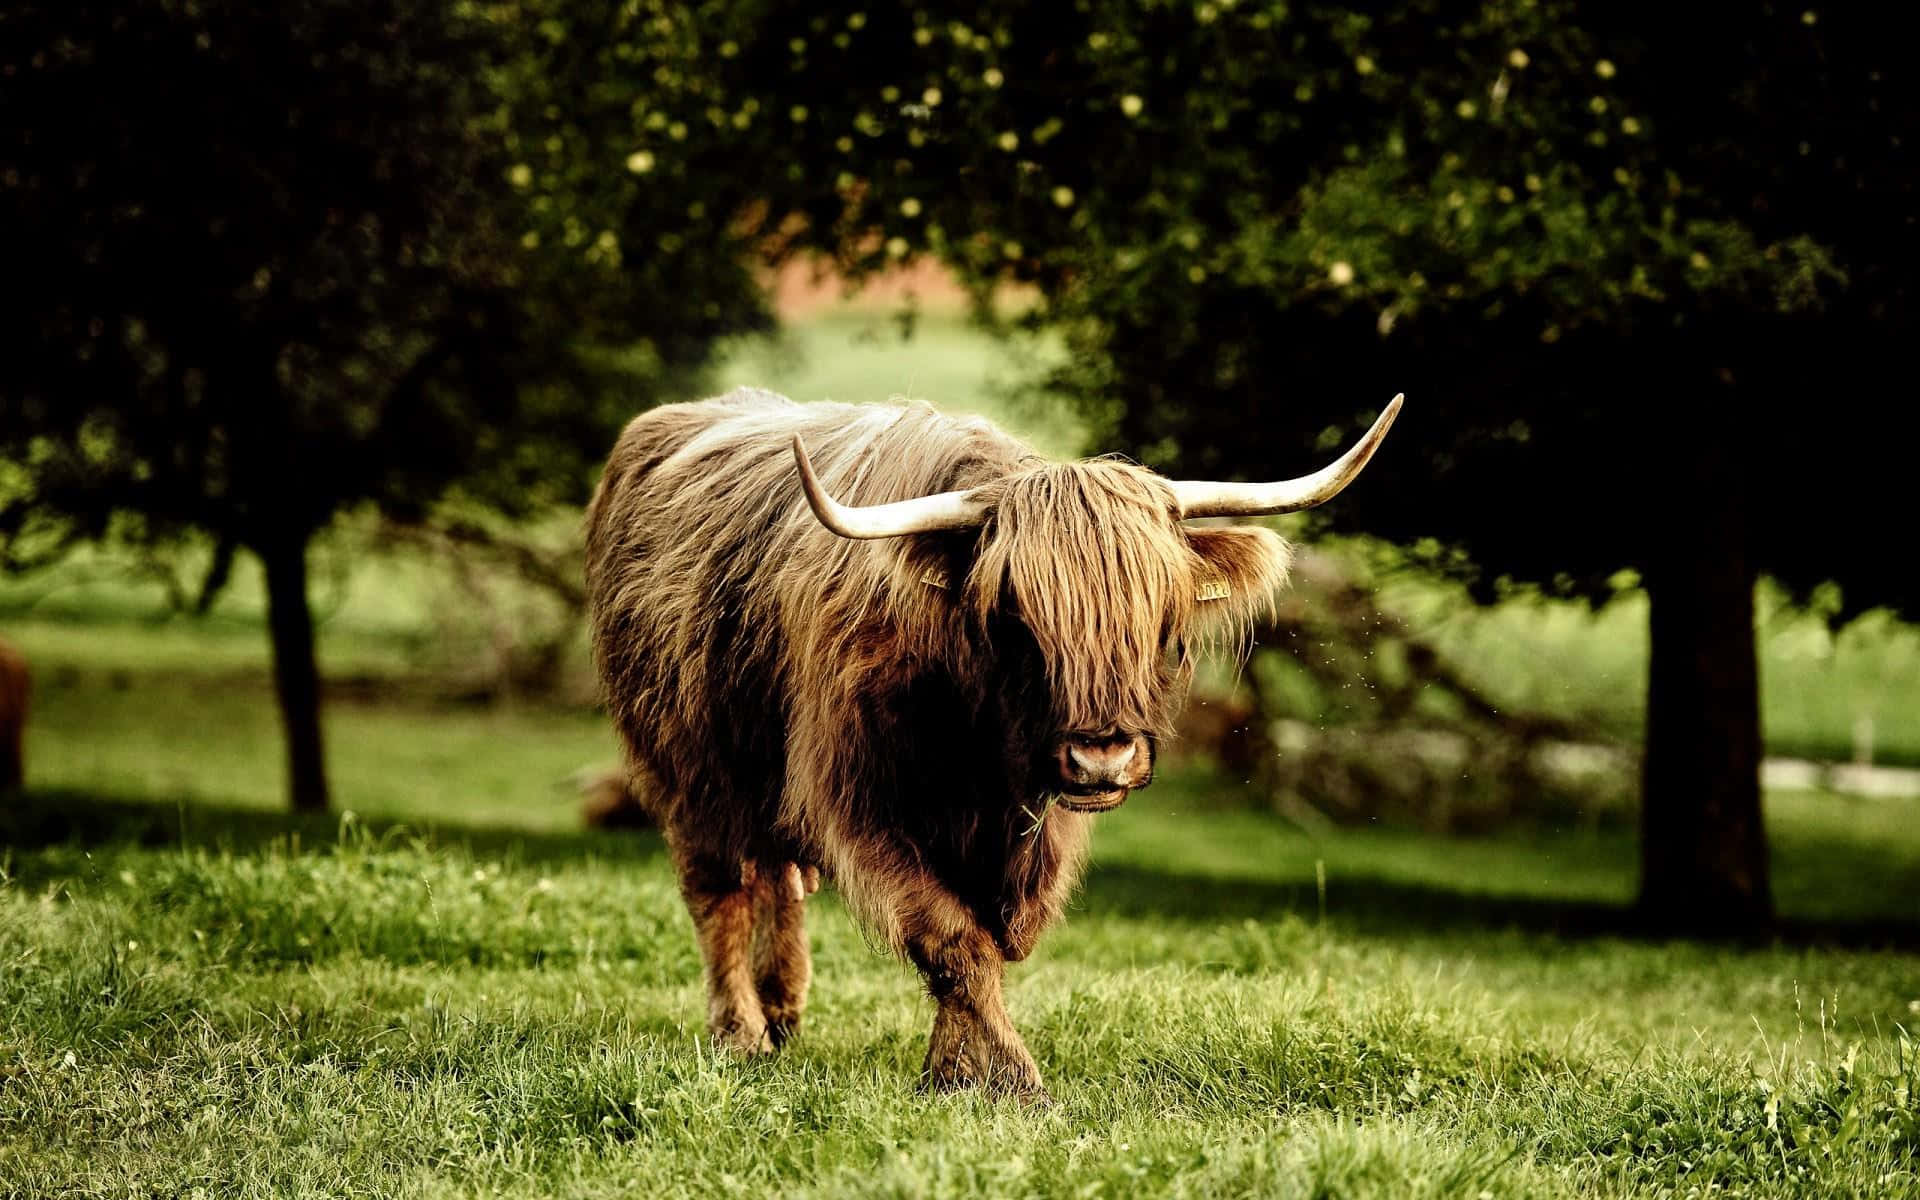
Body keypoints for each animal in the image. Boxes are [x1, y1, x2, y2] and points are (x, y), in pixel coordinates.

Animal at [584, 387, 1400, 1100]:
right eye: (1015, 618)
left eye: (1159, 617)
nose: (1101, 756)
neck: (976, 740)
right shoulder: (858, 802)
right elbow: (951, 938)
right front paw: (1009, 1078)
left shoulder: (1037, 832)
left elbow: (996, 941)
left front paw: (952, 1070)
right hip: (688, 766)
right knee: (719, 888)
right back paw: (742, 1034)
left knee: (778, 878)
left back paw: (784, 1010)